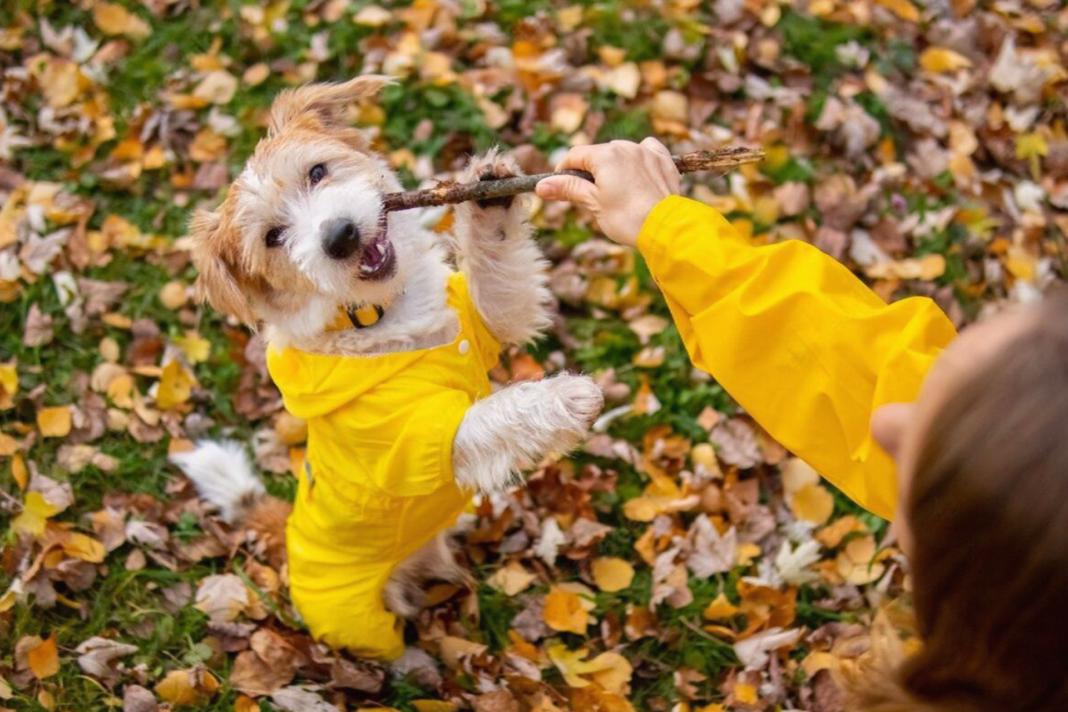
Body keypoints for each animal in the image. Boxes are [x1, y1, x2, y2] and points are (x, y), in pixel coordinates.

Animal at [166, 76, 602, 661]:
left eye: (317, 172)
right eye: (274, 238)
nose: (340, 236)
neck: (380, 314)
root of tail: (288, 539)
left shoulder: (492, 319)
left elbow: (499, 275)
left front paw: (491, 193)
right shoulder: (423, 438)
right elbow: (493, 415)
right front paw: (564, 399)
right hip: (358, 622)